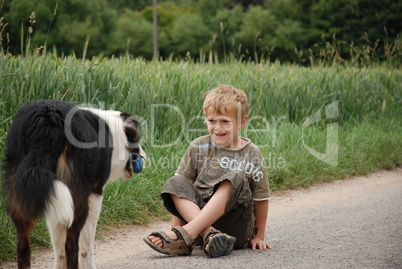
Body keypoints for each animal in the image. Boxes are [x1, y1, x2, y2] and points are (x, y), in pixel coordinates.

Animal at [1, 99, 146, 266]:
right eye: (136, 140)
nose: (144, 156)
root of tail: (47, 121)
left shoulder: (53, 196)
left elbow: (58, 249)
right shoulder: (95, 193)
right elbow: (86, 246)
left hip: (23, 188)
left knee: (23, 245)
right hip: (76, 196)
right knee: (71, 243)